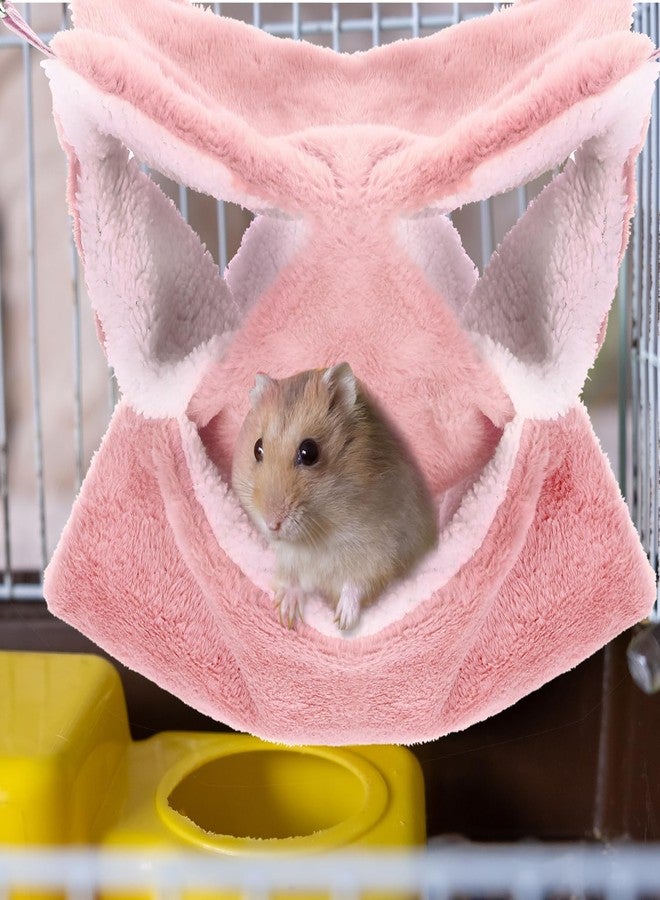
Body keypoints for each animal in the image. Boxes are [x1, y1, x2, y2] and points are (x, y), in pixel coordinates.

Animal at [231, 363, 438, 631]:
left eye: (309, 452)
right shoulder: (288, 558)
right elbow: (291, 579)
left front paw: (343, 623)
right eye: (257, 448)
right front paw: (286, 616)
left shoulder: (380, 553)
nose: (271, 524)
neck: (317, 535)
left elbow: (356, 584)